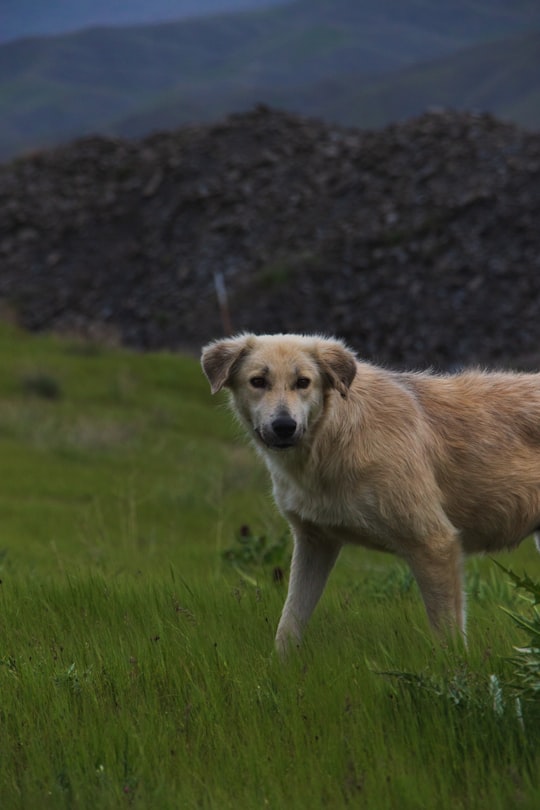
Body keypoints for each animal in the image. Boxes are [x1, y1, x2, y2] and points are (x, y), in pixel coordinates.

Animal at [200, 332, 540, 652]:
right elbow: (289, 624)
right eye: (258, 381)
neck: (332, 439)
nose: (284, 426)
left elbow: (449, 641)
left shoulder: (434, 543)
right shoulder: (314, 542)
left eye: (303, 382)